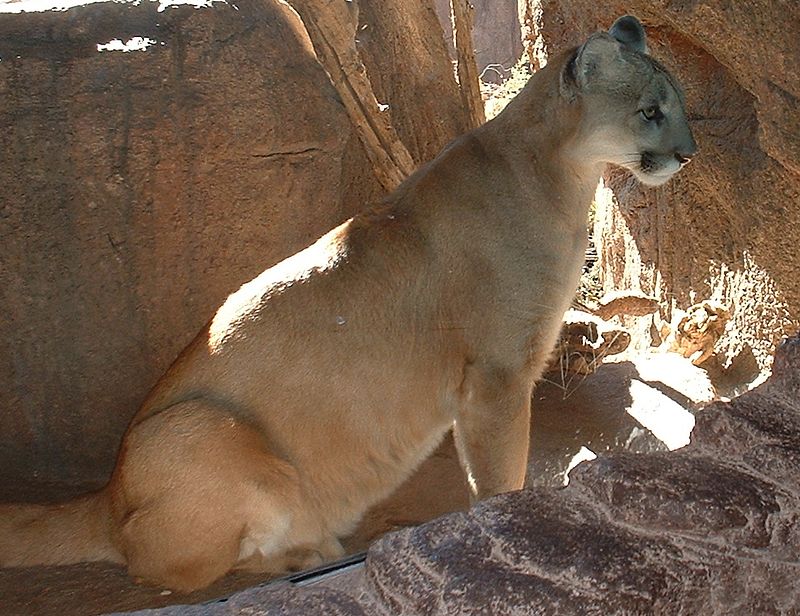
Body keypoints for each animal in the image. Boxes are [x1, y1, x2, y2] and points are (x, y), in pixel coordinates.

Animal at [0, 15, 692, 592]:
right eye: (650, 110)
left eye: (679, 104)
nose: (688, 153)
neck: (564, 173)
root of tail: (108, 493)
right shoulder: (497, 377)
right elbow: (501, 476)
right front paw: (506, 529)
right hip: (201, 428)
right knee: (172, 569)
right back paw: (305, 552)